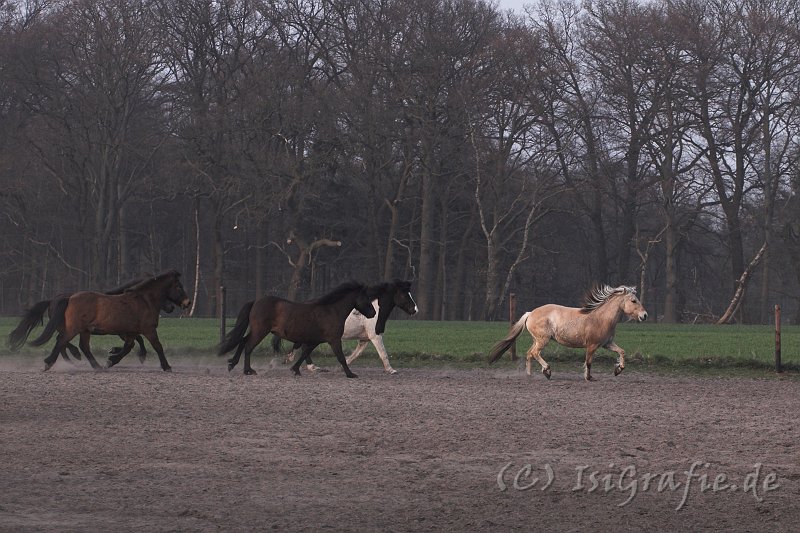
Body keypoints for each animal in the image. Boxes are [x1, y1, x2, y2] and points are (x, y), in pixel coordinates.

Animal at [8, 278, 174, 362]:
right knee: (62, 340)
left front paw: (114, 351)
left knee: (61, 341)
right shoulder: (122, 331)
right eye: (161, 294)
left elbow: (135, 341)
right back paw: (74, 356)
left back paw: (71, 358)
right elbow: (136, 340)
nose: (171, 307)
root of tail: (52, 301)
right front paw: (130, 354)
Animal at [28, 270, 192, 370]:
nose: (188, 302)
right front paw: (166, 366)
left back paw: (96, 366)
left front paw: (111, 359)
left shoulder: (131, 331)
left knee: (82, 346)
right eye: (178, 286)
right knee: (62, 341)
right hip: (73, 328)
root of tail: (69, 298)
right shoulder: (148, 329)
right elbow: (157, 346)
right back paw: (52, 362)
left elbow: (129, 346)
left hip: (84, 330)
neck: (144, 300)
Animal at [220, 280, 380, 376]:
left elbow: (305, 354)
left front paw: (295, 369)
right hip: (260, 331)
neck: (331, 310)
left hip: (257, 330)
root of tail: (256, 302)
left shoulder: (316, 340)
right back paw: (248, 370)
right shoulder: (334, 340)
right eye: (366, 298)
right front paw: (350, 374)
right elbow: (340, 357)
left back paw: (232, 364)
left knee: (242, 341)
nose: (373, 313)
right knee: (248, 346)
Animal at [282, 278, 418, 374]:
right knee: (304, 346)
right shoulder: (375, 336)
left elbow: (355, 355)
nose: (415, 310)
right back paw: (310, 366)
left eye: (410, 294)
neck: (376, 311)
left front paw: (340, 368)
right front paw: (391, 370)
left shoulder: (364, 339)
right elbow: (383, 353)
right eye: (404, 295)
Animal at [488, 284, 648, 380]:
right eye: (633, 301)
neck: (601, 318)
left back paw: (530, 375)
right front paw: (589, 377)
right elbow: (589, 362)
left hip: (537, 340)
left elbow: (622, 352)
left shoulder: (606, 344)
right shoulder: (592, 345)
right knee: (534, 353)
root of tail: (530, 313)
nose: (644, 315)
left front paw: (618, 369)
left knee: (529, 353)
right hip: (542, 340)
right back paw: (547, 371)